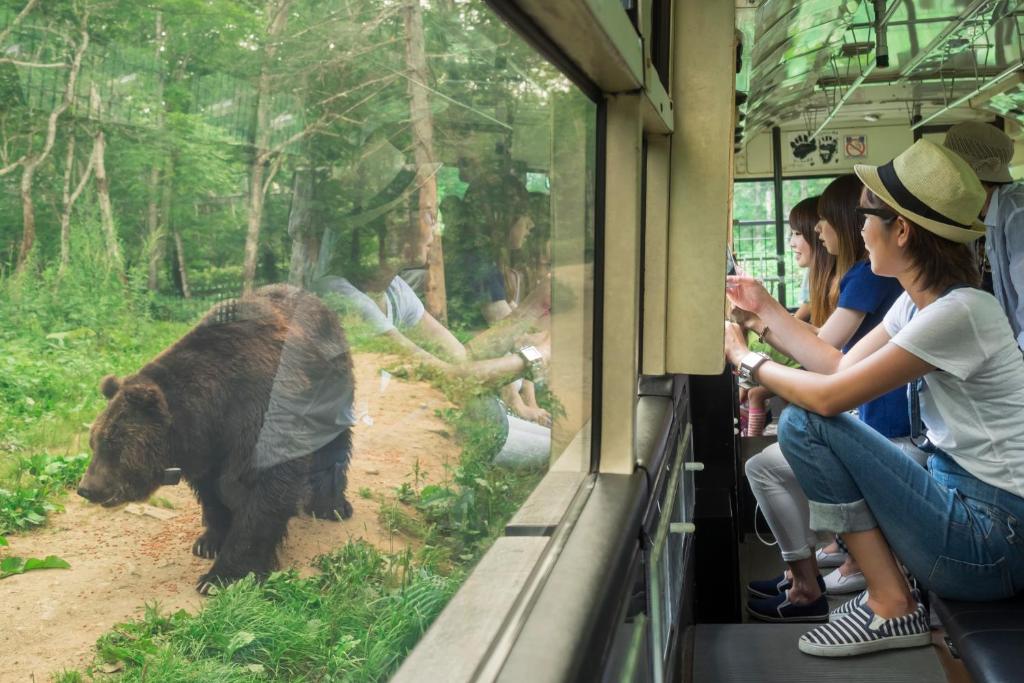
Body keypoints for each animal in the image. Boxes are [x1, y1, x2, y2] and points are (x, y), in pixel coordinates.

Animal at [76, 284, 355, 593]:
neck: (215, 406)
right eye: (93, 442)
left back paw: (332, 506)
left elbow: (262, 489)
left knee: (334, 447)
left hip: (329, 386)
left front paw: (222, 575)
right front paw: (209, 542)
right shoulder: (208, 446)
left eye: (113, 444)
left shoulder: (260, 413)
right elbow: (212, 490)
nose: (86, 488)